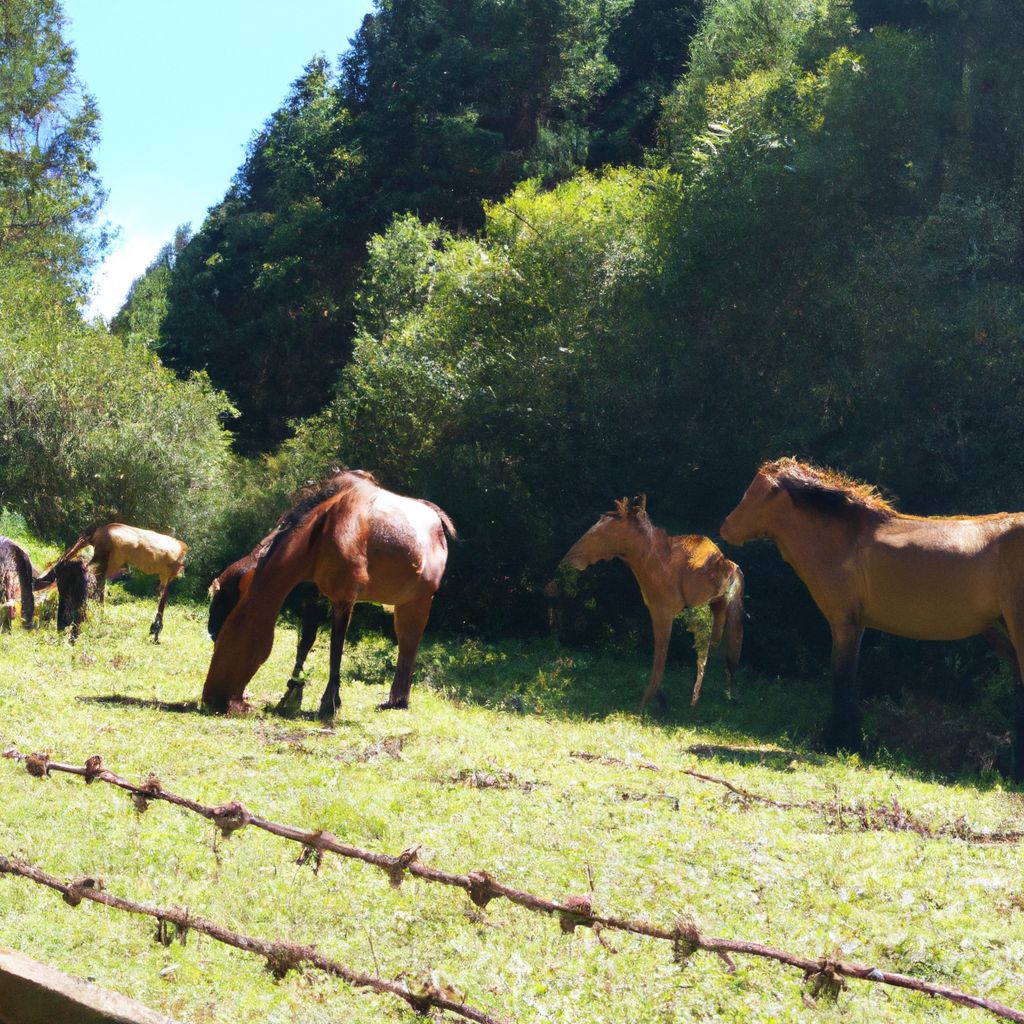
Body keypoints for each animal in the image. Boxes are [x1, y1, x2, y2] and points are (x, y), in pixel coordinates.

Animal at [201, 471, 454, 720]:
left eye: (223, 634)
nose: (211, 700)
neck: (317, 538)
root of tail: (437, 519)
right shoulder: (313, 595)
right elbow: (305, 643)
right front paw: (291, 695)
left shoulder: (344, 597)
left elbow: (335, 650)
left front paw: (329, 703)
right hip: (403, 601)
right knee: (406, 642)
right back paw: (395, 700)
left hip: (421, 598)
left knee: (410, 642)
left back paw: (399, 702)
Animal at [561, 497, 745, 708]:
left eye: (599, 533)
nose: (566, 561)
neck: (648, 561)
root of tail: (730, 566)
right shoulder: (657, 611)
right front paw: (661, 699)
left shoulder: (663, 612)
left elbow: (661, 656)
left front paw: (646, 704)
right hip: (720, 609)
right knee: (722, 648)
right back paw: (722, 695)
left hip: (714, 611)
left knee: (717, 649)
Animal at [716, 456, 1024, 774]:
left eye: (753, 492)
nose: (726, 527)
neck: (845, 539)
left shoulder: (845, 622)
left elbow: (843, 679)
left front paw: (839, 741)